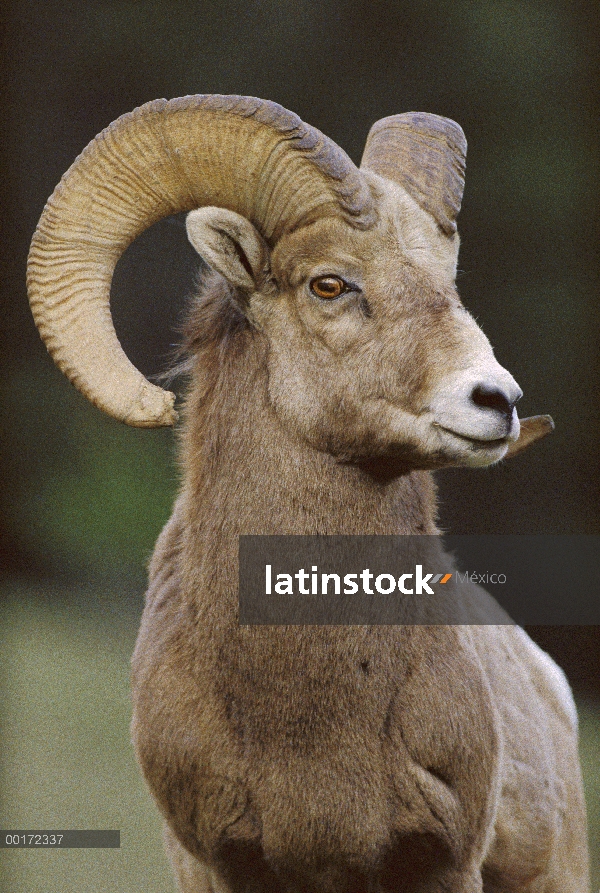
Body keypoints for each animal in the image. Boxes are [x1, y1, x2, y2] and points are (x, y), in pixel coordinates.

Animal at [27, 94, 584, 888]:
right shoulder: (219, 866)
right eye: (329, 283)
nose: (497, 401)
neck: (310, 721)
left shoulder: (445, 863)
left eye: (448, 279)